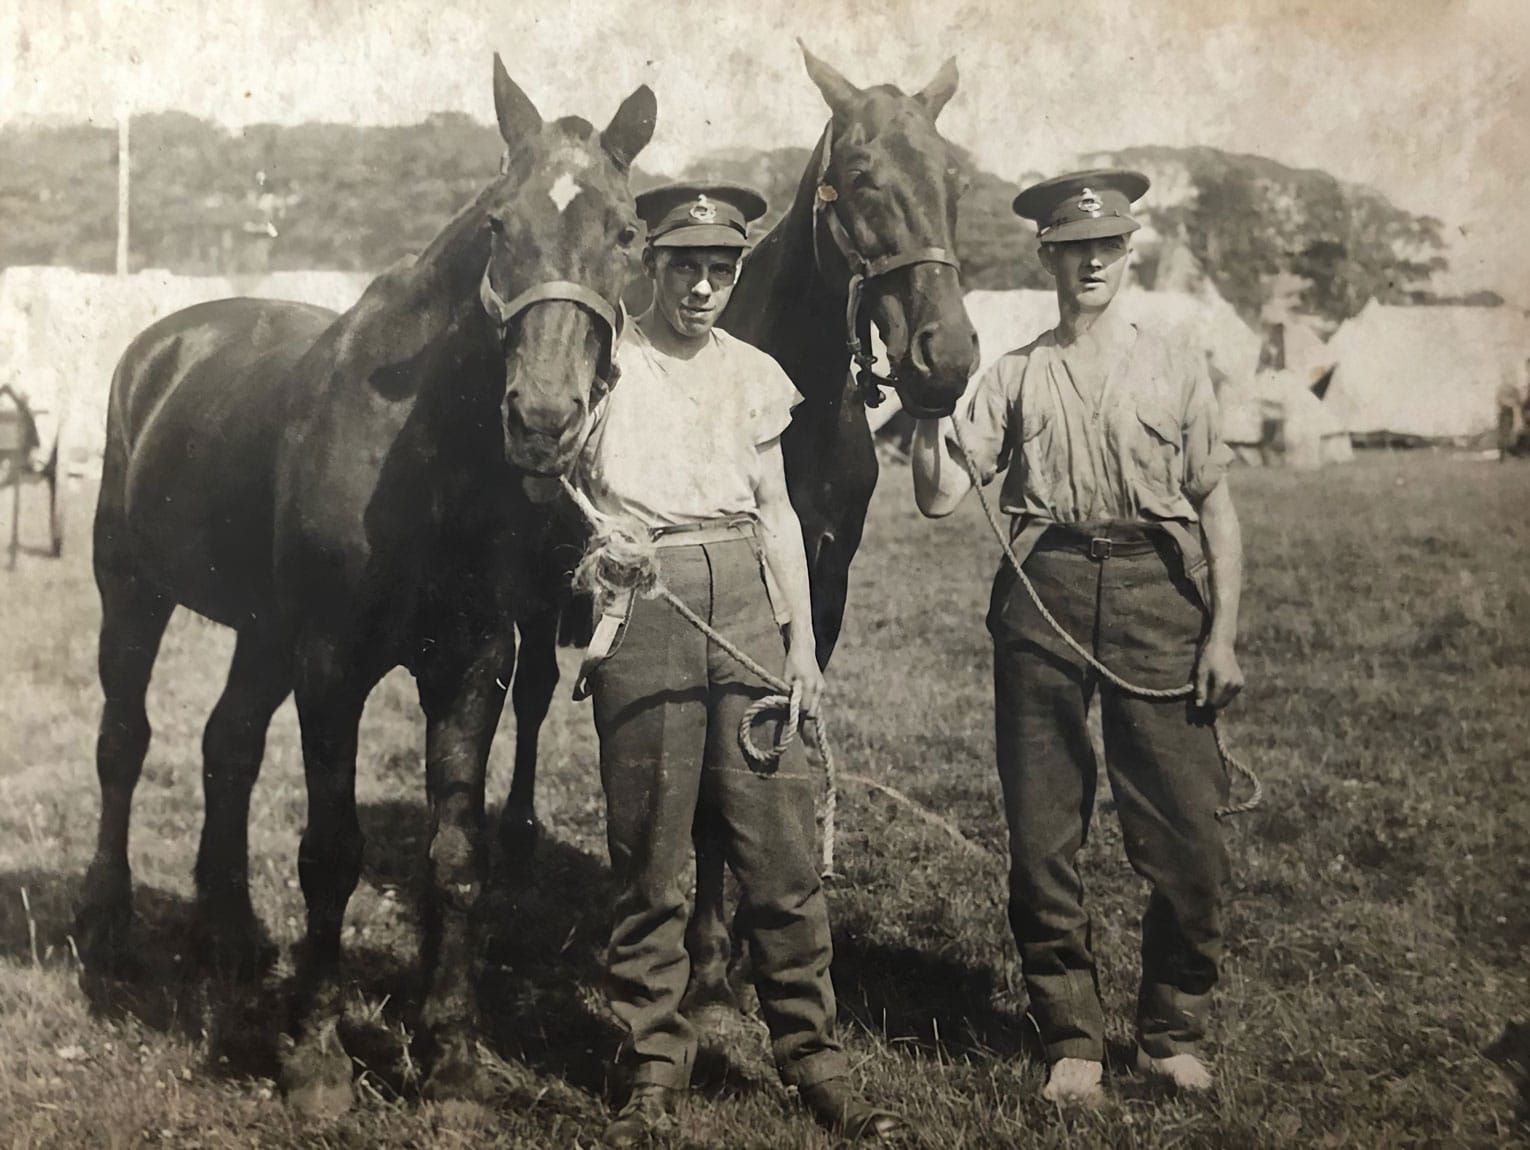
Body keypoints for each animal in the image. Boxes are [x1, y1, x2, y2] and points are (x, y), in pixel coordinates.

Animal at [74, 56, 656, 1114]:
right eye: (498, 223)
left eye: (627, 231)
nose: (542, 418)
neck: (424, 458)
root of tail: (162, 347)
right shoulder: (331, 664)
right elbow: (331, 851)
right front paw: (314, 1054)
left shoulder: (474, 663)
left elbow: (457, 854)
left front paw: (452, 1051)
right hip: (130, 590)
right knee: (124, 739)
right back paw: (108, 922)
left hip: (261, 631)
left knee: (227, 744)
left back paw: (231, 934)